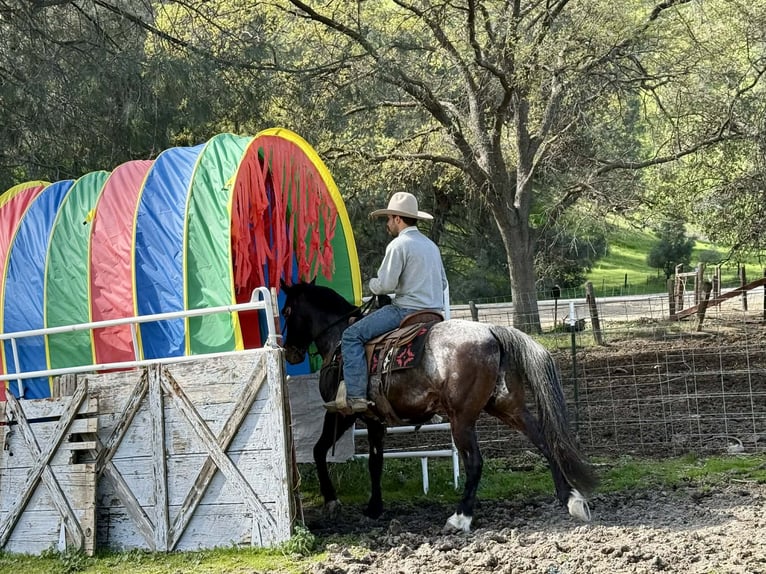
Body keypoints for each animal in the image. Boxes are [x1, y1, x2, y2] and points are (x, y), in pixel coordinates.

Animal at [280, 280, 596, 532]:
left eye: (286, 311)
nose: (291, 353)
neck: (337, 337)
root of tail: (492, 331)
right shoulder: (374, 421)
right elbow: (375, 462)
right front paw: (374, 507)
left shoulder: (341, 414)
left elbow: (320, 451)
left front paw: (332, 501)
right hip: (509, 407)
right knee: (544, 442)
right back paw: (570, 499)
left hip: (462, 419)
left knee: (475, 462)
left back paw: (460, 518)